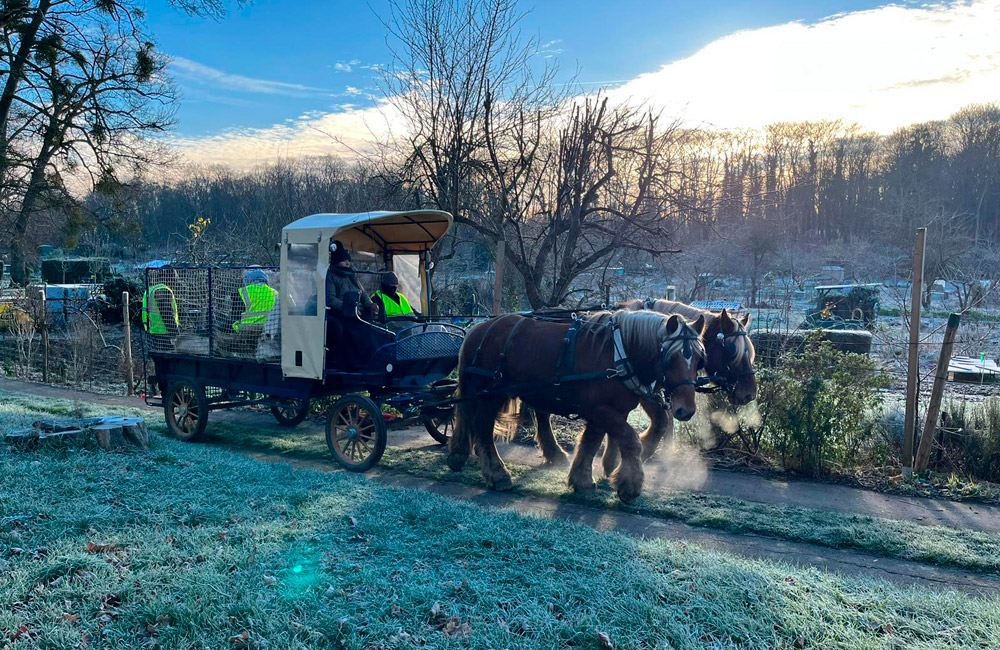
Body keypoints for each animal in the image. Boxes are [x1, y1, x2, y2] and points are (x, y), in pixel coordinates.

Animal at [450, 308, 708, 502]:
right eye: (670, 358)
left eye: (699, 359)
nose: (686, 410)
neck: (620, 352)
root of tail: (480, 328)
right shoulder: (599, 409)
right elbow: (630, 440)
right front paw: (629, 485)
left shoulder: (607, 410)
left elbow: (592, 442)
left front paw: (582, 479)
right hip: (490, 394)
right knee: (483, 427)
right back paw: (498, 474)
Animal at [536, 298, 752, 470]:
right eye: (732, 349)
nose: (749, 393)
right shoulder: (645, 391)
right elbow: (661, 421)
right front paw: (643, 451)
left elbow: (663, 420)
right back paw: (555, 453)